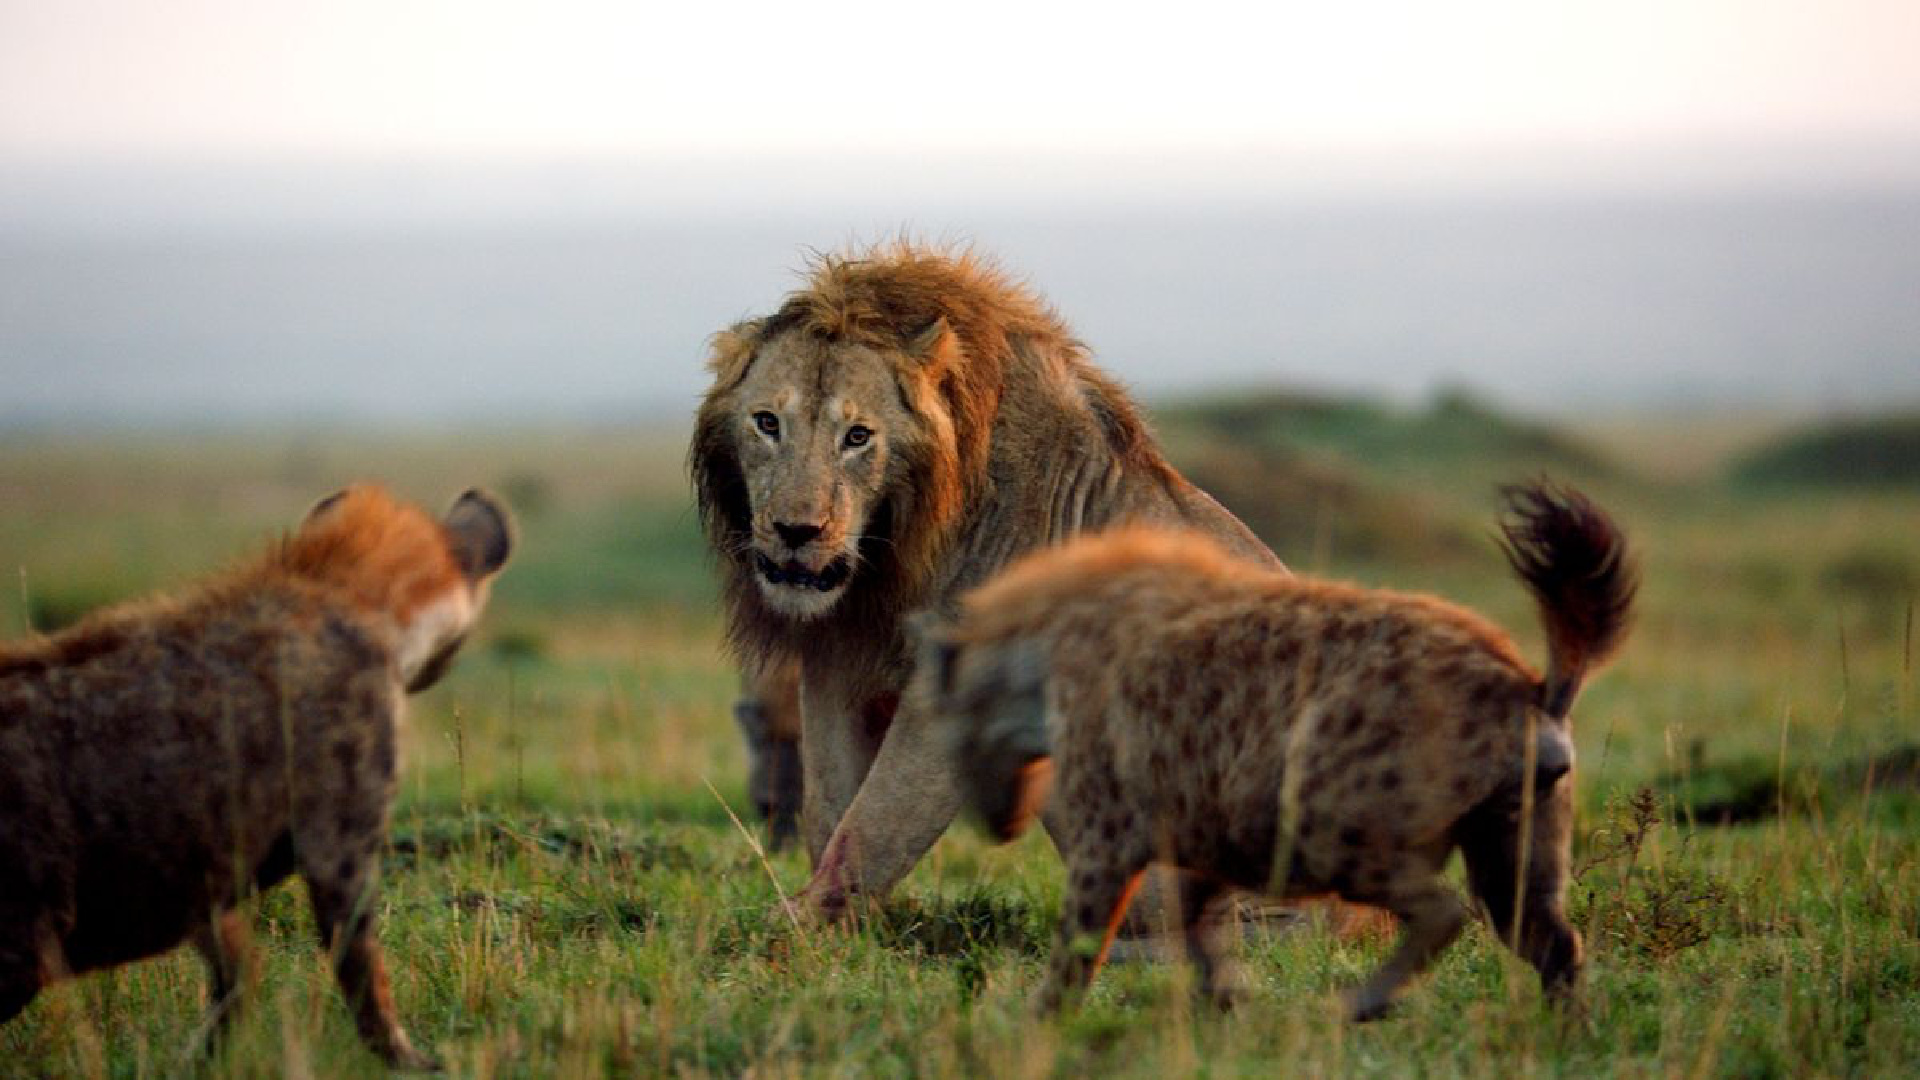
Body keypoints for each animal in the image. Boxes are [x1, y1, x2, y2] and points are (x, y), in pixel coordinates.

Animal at [691, 239, 1274, 910]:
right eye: (767, 423)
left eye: (858, 436)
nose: (796, 531)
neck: (897, 554)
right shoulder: (837, 664)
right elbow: (830, 808)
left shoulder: (962, 688)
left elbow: (870, 828)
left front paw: (788, 925)